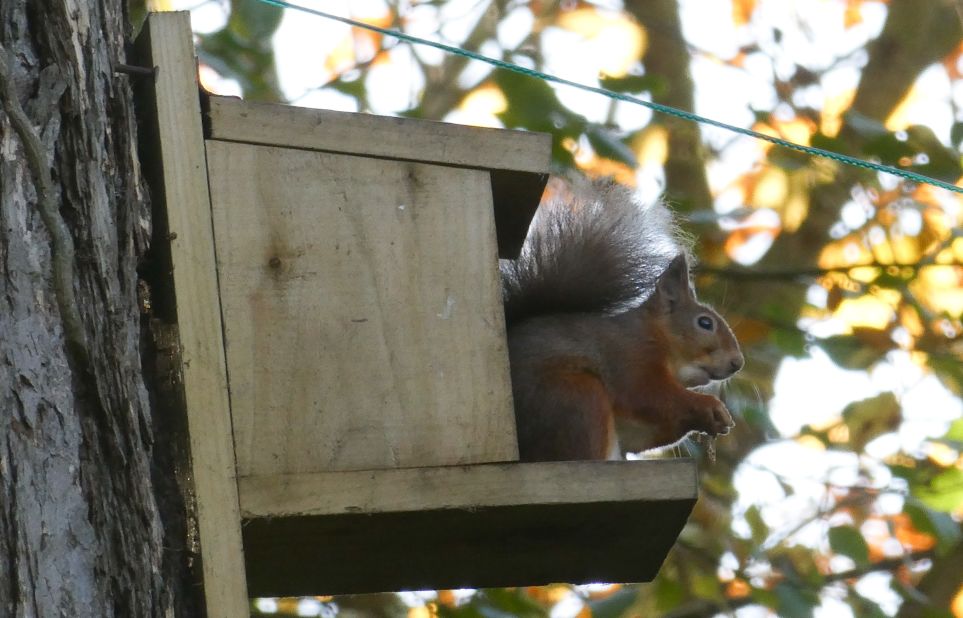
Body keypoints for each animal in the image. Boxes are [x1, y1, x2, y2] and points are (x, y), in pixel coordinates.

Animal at [504, 178, 744, 458]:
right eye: (705, 323)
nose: (737, 363)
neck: (655, 334)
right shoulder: (630, 354)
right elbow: (645, 394)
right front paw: (709, 406)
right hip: (576, 400)